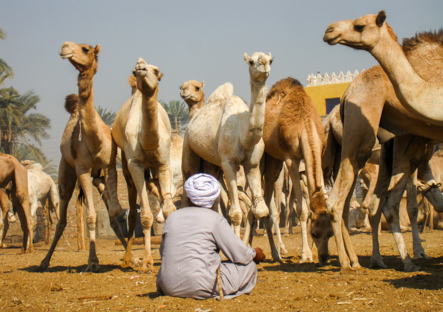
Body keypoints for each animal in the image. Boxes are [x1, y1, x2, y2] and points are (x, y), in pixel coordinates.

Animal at [39, 42, 136, 272]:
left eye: (85, 49)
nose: (65, 47)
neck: (95, 141)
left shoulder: (109, 165)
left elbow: (115, 213)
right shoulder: (82, 168)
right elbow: (91, 216)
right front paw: (93, 261)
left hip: (97, 176)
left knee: (109, 211)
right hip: (66, 171)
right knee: (62, 217)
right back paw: (44, 261)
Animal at [112, 57, 176, 272]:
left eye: (156, 71)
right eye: (135, 70)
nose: (140, 66)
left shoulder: (164, 164)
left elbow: (169, 210)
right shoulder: (135, 164)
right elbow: (146, 216)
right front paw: (147, 261)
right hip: (126, 166)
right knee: (132, 212)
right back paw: (127, 260)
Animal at [256, 77, 330, 264]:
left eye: (331, 233)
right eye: (314, 233)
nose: (324, 257)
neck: (305, 123)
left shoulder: (318, 154)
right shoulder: (291, 159)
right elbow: (302, 210)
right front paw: (306, 254)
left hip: (275, 163)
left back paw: (276, 253)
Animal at [322, 23, 443, 272]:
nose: (331, 30)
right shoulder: (413, 151)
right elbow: (410, 205)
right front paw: (418, 254)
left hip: (347, 158)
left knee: (350, 202)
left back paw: (357, 259)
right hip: (359, 152)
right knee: (344, 202)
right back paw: (347, 262)